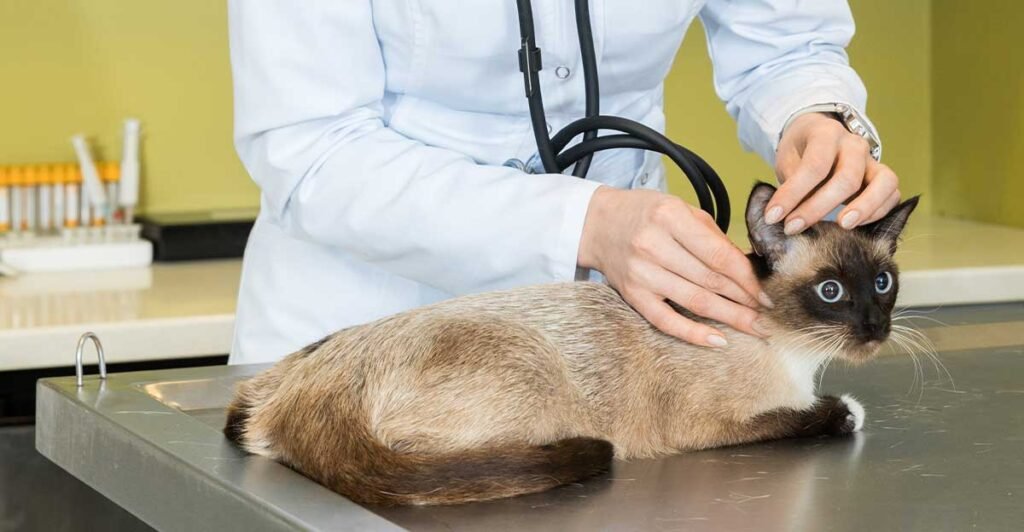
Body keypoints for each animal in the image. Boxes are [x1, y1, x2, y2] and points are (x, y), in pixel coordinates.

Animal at [220, 183, 917, 507]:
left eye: (882, 283)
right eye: (831, 291)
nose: (874, 328)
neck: (794, 352)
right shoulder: (713, 426)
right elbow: (816, 415)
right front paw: (845, 410)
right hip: (538, 386)